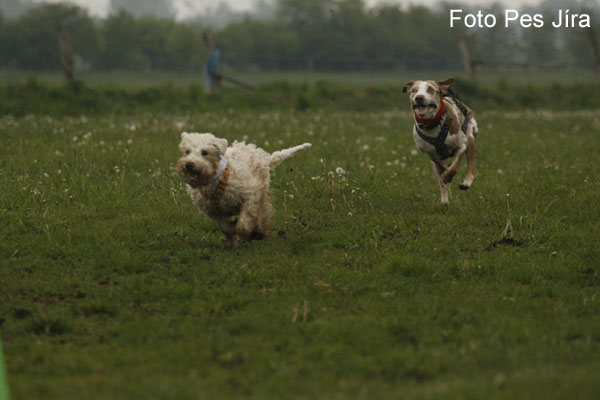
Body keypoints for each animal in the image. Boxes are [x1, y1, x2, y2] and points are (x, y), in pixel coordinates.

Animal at [177, 133, 310, 244]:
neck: (216, 179)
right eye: (187, 151)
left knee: (262, 214)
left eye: (205, 152)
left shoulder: (250, 196)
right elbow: (226, 227)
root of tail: (264, 157)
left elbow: (244, 223)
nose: (189, 164)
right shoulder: (211, 211)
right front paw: (232, 236)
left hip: (261, 193)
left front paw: (251, 233)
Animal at [400, 77, 480, 205]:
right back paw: (444, 201)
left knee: (471, 170)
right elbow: (443, 169)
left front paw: (448, 176)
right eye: (414, 90)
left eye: (430, 89)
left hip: (471, 138)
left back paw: (466, 182)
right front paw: (445, 178)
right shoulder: (431, 155)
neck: (432, 124)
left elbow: (454, 168)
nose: (419, 97)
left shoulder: (462, 145)